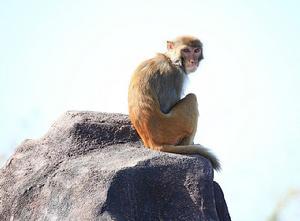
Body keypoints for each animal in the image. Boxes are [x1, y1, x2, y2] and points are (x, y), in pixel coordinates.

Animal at [127, 35, 220, 171]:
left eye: (196, 50)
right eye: (186, 50)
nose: (193, 61)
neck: (171, 59)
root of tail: (154, 144)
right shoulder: (174, 74)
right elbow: (167, 106)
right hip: (173, 130)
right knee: (192, 98)